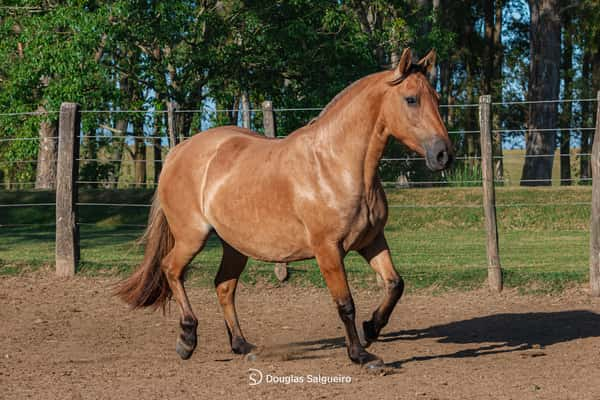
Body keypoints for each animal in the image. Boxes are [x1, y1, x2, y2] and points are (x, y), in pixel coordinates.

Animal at [117, 48, 452, 370]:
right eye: (411, 99)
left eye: (436, 99)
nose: (443, 155)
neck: (336, 165)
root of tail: (177, 151)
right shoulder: (328, 250)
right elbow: (345, 304)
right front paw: (361, 355)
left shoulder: (371, 241)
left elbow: (395, 284)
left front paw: (371, 330)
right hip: (192, 236)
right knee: (171, 269)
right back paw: (187, 339)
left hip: (234, 246)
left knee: (223, 286)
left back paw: (243, 346)